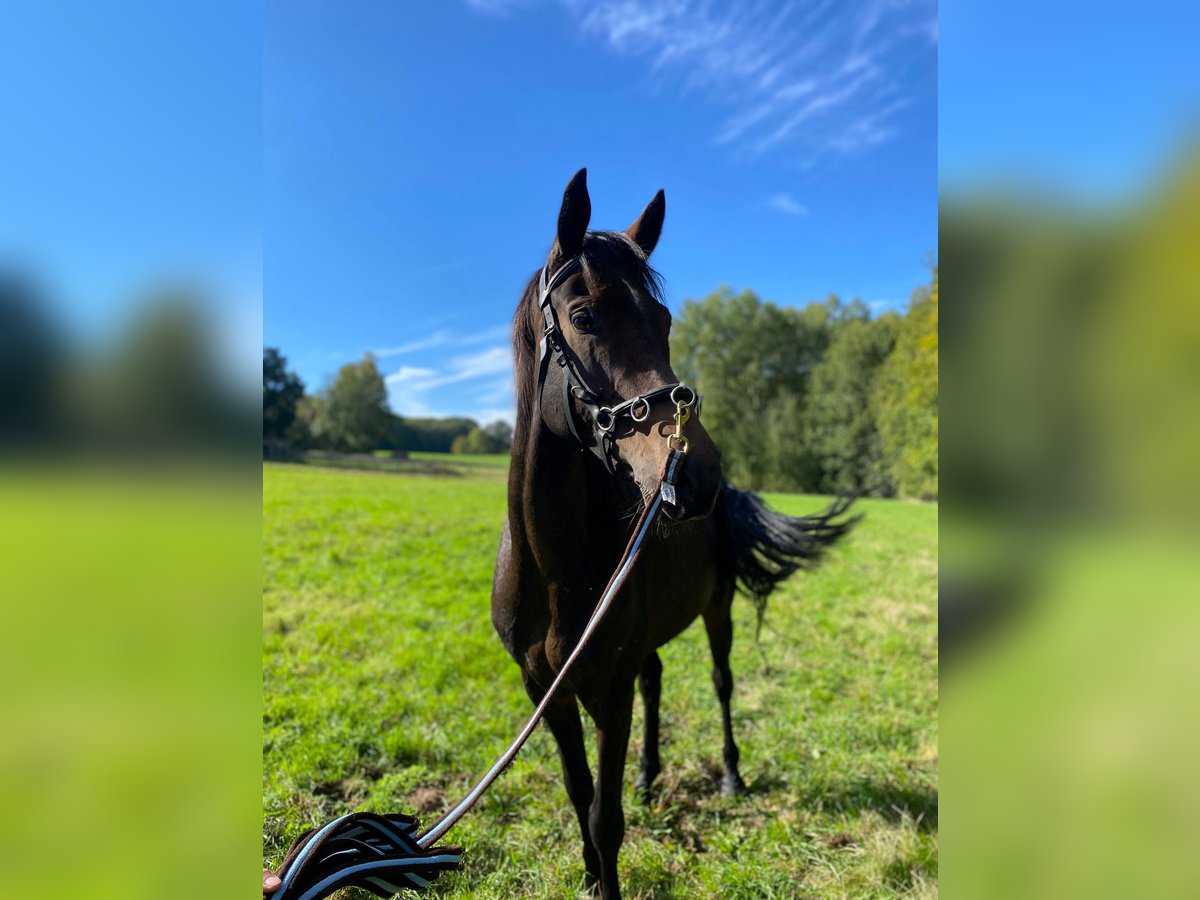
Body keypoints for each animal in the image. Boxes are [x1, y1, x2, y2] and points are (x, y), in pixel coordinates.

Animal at [492, 170, 859, 900]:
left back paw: (731, 775)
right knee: (657, 681)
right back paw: (649, 773)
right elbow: (579, 794)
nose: (696, 474)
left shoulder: (607, 690)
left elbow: (605, 818)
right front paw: (589, 878)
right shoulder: (545, 692)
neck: (553, 570)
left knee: (721, 682)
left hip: (717, 613)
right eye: (584, 318)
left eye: (663, 322)